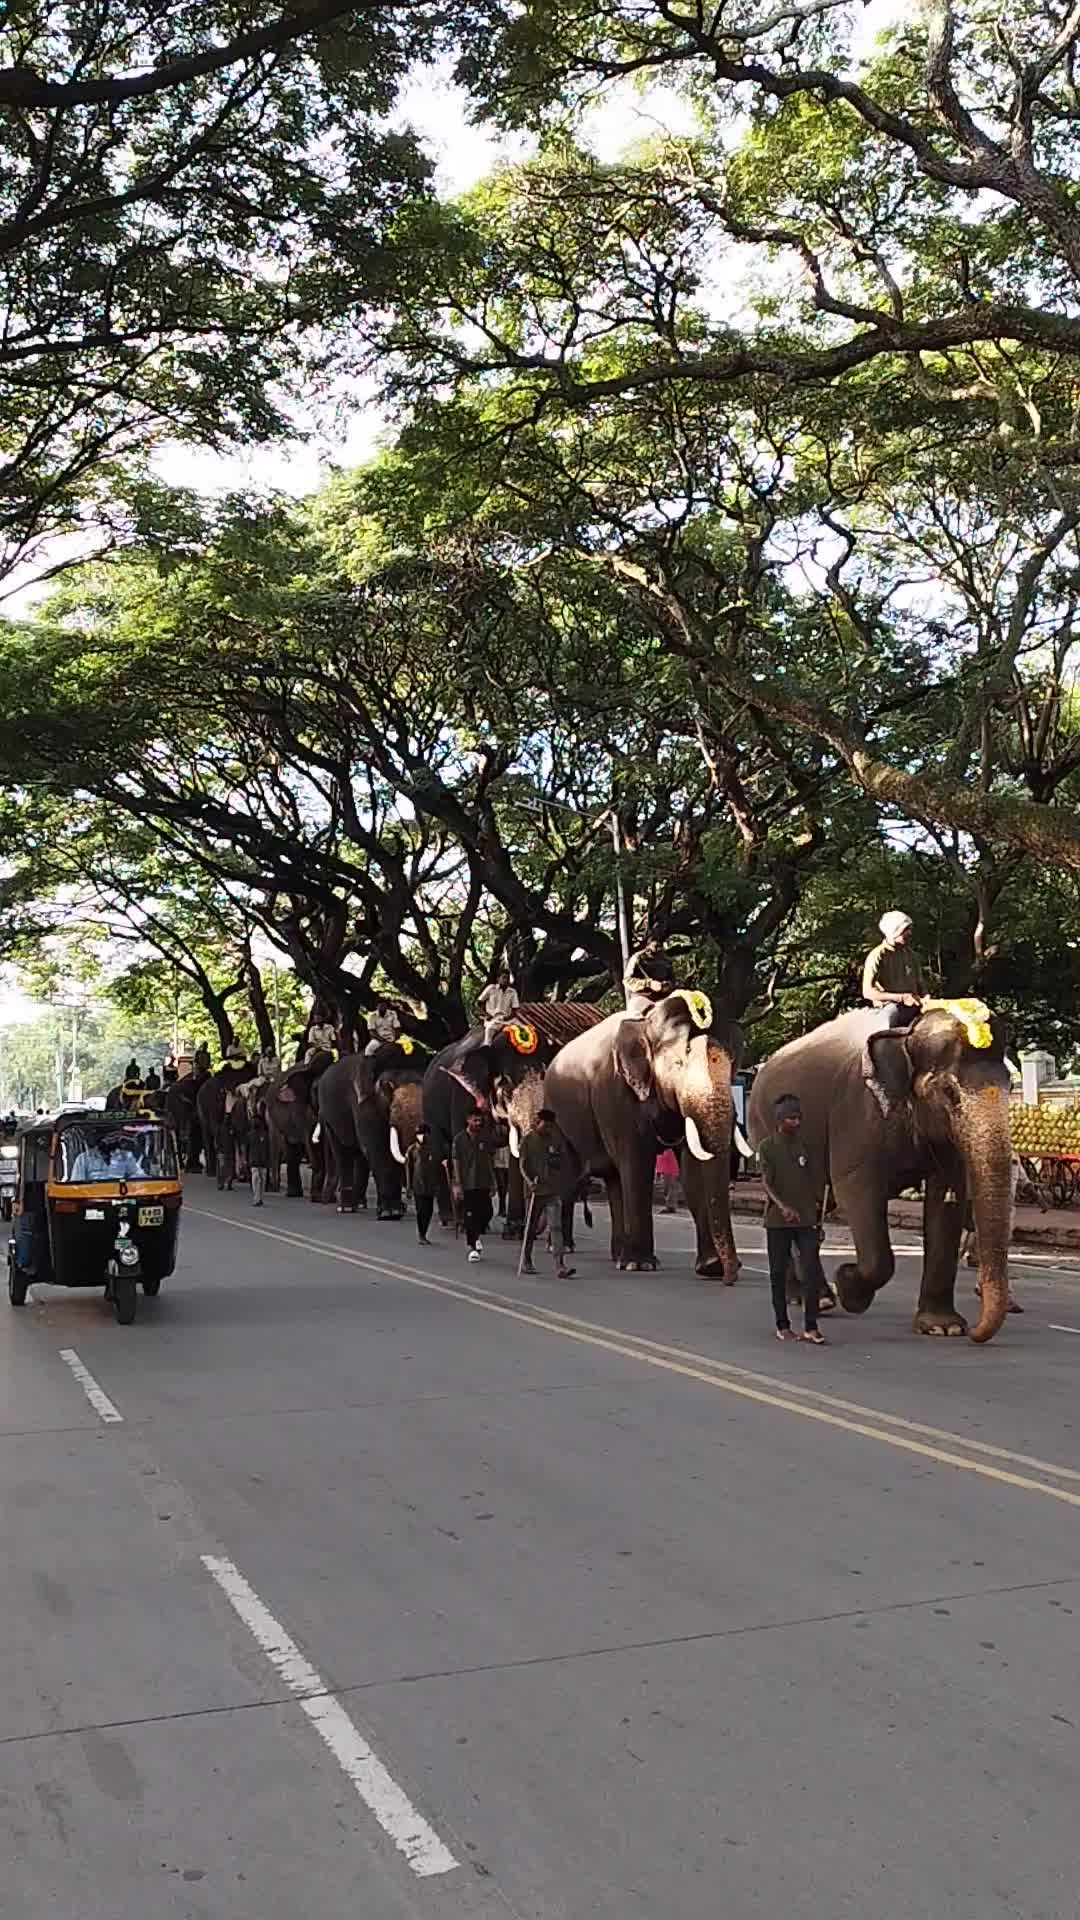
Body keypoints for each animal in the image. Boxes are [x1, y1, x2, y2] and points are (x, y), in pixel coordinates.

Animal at [316, 1043, 427, 1218]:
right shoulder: (363, 1103)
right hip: (329, 1119)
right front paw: (390, 1213)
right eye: (393, 1107)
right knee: (343, 1153)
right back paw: (346, 1208)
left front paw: (396, 1210)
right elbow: (378, 1148)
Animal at [423, 1003, 606, 1235]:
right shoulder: (463, 1097)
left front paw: (515, 1230)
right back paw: (450, 1220)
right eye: (506, 1084)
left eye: (546, 1079)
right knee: (442, 1152)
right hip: (430, 1109)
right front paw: (470, 1225)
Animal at [542, 990, 742, 1278]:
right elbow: (637, 1164)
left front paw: (710, 1267)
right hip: (557, 1117)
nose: (732, 1272)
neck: (648, 1020)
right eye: (678, 1063)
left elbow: (692, 1169)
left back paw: (617, 1255)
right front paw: (640, 1265)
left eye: (732, 1066)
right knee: (570, 1176)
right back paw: (562, 1248)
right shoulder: (616, 1091)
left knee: (614, 1179)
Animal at [747, 1004, 1013, 1343]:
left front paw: (943, 1327)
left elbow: (947, 1198)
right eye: (949, 1092)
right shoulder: (858, 1112)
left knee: (815, 1205)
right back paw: (818, 1298)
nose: (975, 1332)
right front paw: (848, 1286)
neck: (905, 1035)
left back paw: (815, 1297)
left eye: (1011, 1086)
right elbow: (856, 1189)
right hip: (762, 1124)